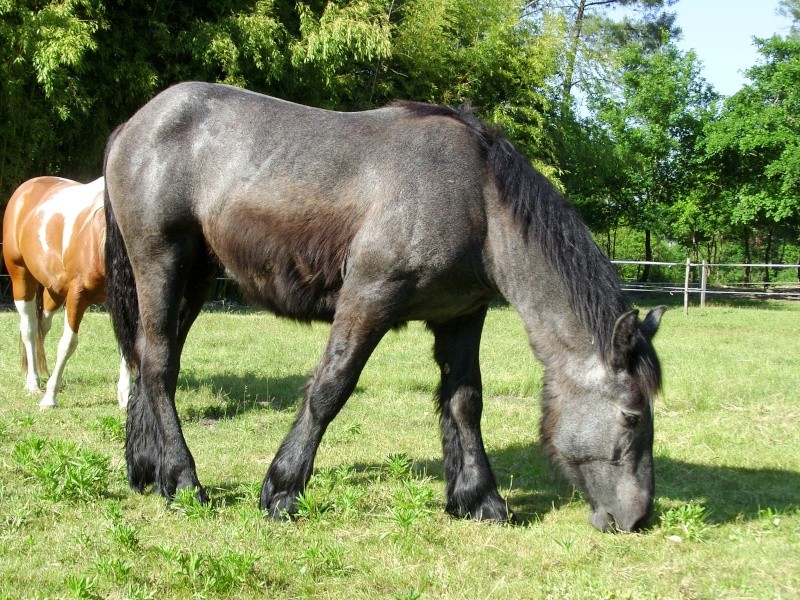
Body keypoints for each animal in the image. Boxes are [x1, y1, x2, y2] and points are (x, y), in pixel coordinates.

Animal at [3, 176, 131, 410]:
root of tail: (27, 187)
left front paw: (125, 397)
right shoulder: (77, 295)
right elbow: (67, 343)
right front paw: (50, 398)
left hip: (54, 291)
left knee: (42, 328)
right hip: (21, 278)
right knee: (29, 329)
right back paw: (33, 383)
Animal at [103, 81, 664, 536]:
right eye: (633, 415)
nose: (638, 517)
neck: (476, 199)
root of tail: (136, 122)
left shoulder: (461, 316)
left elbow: (464, 402)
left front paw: (479, 500)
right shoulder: (369, 297)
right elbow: (331, 388)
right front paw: (282, 490)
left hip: (194, 278)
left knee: (145, 360)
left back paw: (149, 471)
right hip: (162, 263)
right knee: (159, 365)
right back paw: (183, 480)